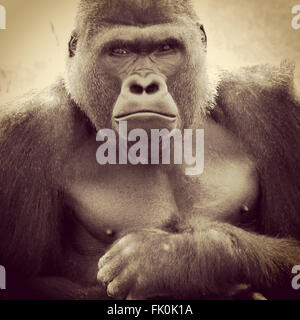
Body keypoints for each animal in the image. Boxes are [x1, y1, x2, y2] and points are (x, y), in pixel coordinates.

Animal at [0, 0, 300, 300]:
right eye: (120, 51)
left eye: (164, 48)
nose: (144, 85)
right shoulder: (30, 127)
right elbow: (25, 278)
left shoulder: (267, 103)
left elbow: (293, 247)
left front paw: (171, 260)